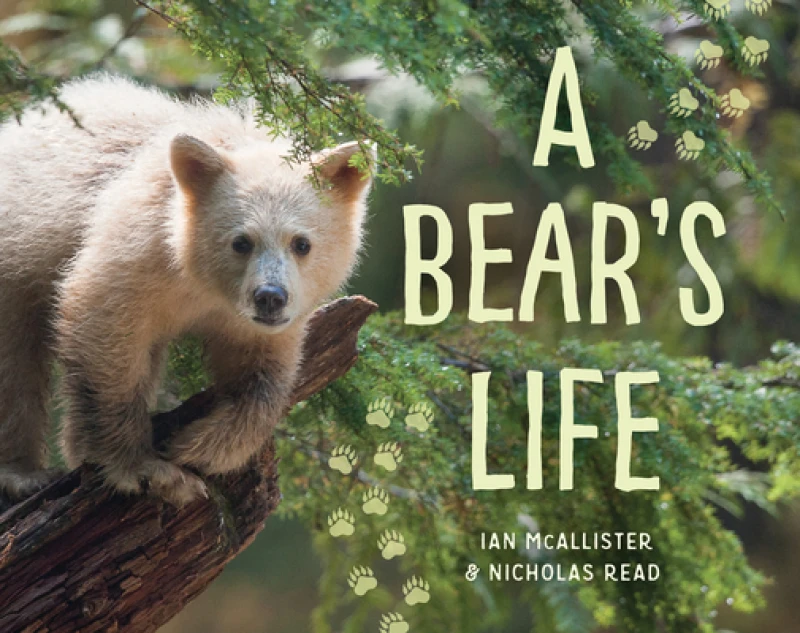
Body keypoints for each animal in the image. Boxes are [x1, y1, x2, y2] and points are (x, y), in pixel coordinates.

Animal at [0, 75, 372, 505]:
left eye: (302, 243)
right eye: (241, 241)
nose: (270, 298)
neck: (200, 285)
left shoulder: (257, 322)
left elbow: (263, 374)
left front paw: (200, 446)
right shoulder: (137, 252)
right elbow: (102, 331)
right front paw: (147, 468)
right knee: (15, 360)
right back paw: (23, 473)